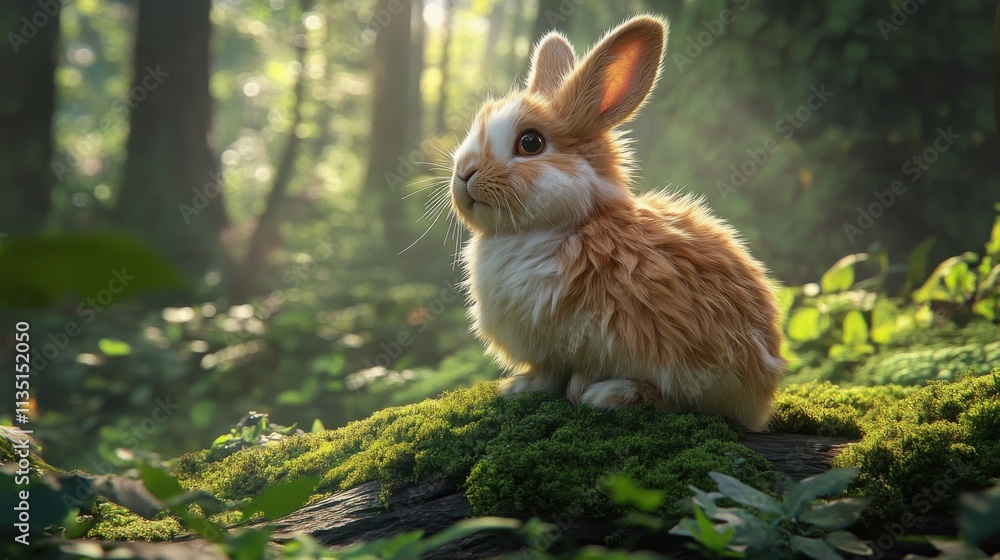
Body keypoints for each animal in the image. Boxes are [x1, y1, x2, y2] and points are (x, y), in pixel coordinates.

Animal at [447, 15, 785, 431]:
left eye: (530, 142)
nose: (464, 174)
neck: (565, 225)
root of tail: (761, 403)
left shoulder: (596, 338)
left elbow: (578, 373)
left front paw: (576, 394)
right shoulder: (551, 352)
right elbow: (547, 374)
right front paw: (519, 387)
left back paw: (614, 395)